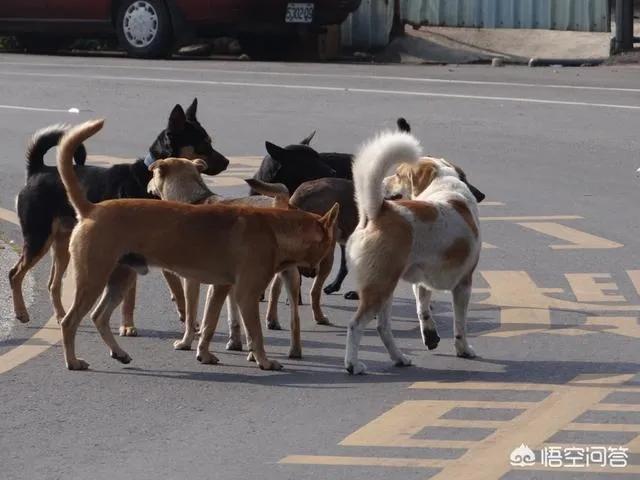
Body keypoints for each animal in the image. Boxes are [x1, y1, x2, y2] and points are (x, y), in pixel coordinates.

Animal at [10, 97, 230, 330]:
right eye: (204, 144)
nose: (227, 162)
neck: (149, 179)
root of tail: (38, 170)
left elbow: (174, 283)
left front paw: (183, 313)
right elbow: (135, 295)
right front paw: (128, 326)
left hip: (62, 243)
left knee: (53, 283)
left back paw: (60, 315)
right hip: (38, 238)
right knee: (15, 274)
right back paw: (22, 312)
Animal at [146, 159, 304, 358]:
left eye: (152, 175)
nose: (147, 186)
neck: (193, 200)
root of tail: (280, 205)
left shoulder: (191, 281)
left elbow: (192, 315)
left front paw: (186, 342)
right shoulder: (228, 282)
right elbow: (232, 315)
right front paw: (234, 342)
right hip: (291, 277)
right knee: (295, 318)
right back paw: (293, 350)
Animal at [344, 131, 484, 376]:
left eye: (399, 175)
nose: (383, 182)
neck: (444, 186)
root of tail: (378, 211)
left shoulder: (422, 282)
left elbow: (422, 310)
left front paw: (430, 335)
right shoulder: (463, 284)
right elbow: (460, 324)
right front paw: (464, 349)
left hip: (385, 289)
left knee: (383, 328)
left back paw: (399, 358)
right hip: (379, 288)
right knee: (355, 325)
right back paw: (353, 364)